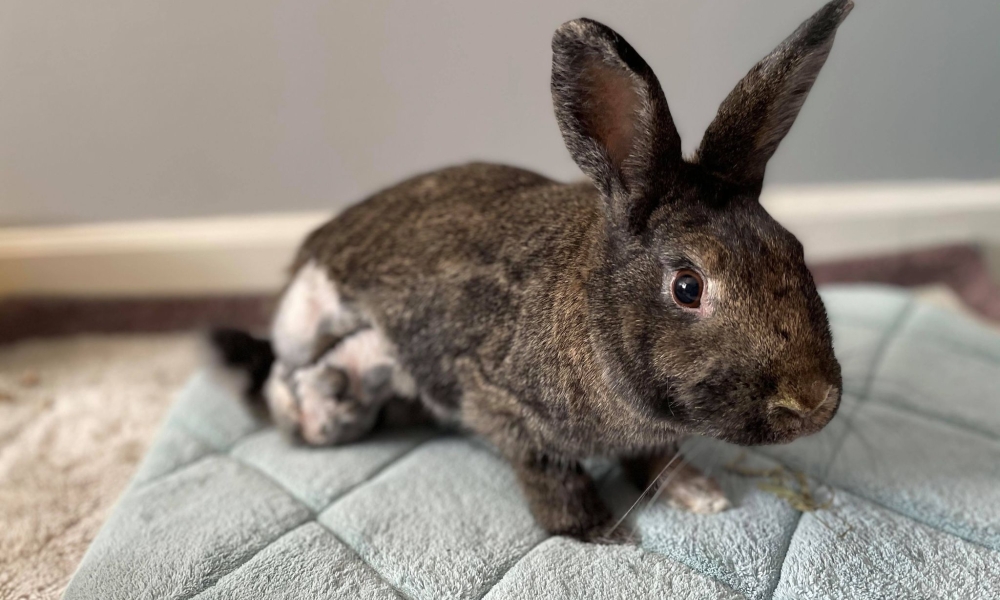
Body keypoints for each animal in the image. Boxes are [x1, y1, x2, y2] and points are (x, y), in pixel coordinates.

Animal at [213, 0, 852, 540]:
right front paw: (598, 530)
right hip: (309, 321)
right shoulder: (501, 404)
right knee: (280, 380)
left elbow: (654, 458)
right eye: (688, 287)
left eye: (794, 249)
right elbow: (549, 470)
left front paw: (699, 494)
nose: (814, 402)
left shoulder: (647, 437)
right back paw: (317, 407)